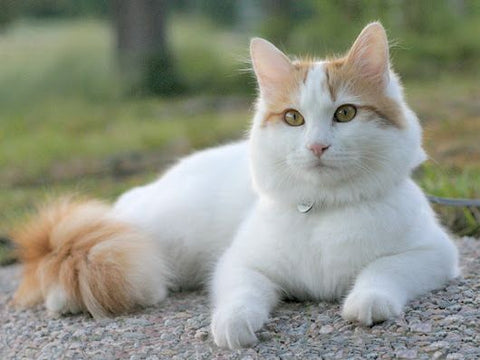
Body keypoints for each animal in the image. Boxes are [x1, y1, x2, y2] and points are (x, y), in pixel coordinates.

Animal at [13, 22, 460, 348]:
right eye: (294, 118)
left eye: (345, 113)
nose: (317, 146)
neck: (324, 209)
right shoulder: (241, 263)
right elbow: (240, 296)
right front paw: (232, 326)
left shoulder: (434, 253)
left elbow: (383, 270)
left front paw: (367, 301)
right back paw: (64, 299)